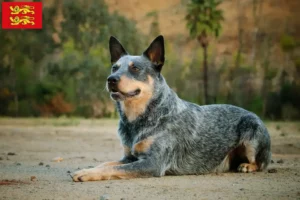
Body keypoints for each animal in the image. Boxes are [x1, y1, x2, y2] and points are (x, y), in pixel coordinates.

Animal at [71, 35, 270, 182]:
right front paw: (88, 168)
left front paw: (87, 173)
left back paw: (247, 166)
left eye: (135, 68)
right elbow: (108, 164)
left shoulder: (153, 162)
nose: (111, 79)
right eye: (114, 67)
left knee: (261, 163)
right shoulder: (129, 157)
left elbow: (116, 168)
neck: (140, 117)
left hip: (251, 131)